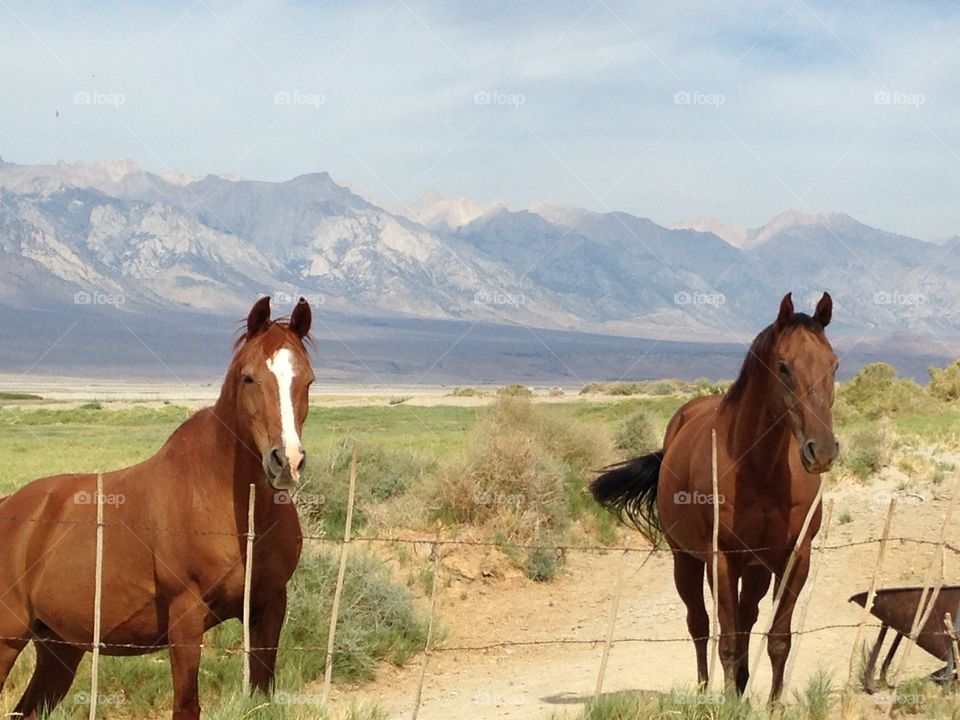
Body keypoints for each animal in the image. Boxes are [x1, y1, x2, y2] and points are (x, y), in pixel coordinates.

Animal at [0, 296, 313, 719]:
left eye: (307, 380)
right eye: (249, 378)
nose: (287, 461)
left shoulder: (269, 607)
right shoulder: (186, 618)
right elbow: (186, 705)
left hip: (59, 648)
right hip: (8, 641)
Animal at [591, 292, 838, 702]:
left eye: (834, 365)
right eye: (783, 367)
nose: (821, 451)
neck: (760, 469)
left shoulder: (795, 559)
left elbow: (778, 640)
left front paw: (771, 704)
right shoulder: (720, 560)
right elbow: (727, 640)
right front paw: (727, 702)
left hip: (755, 569)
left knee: (746, 618)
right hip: (686, 561)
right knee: (700, 625)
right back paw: (706, 689)